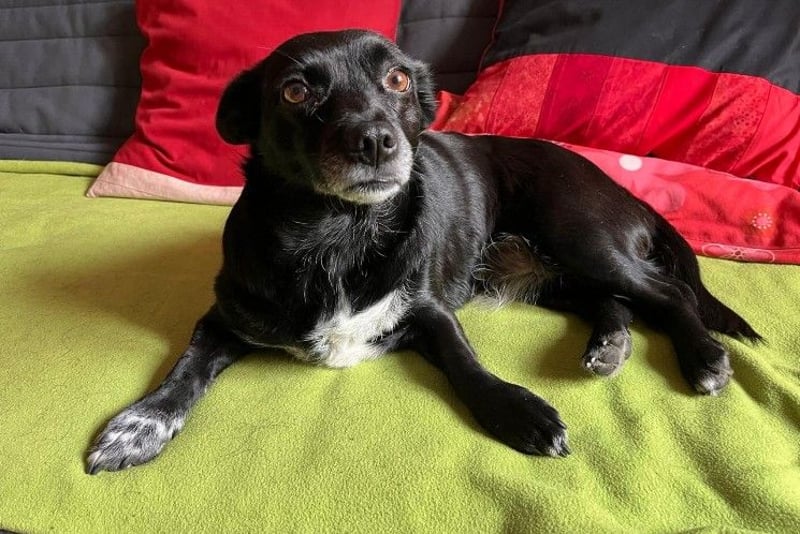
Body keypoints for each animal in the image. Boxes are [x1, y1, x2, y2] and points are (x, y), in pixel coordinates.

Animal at [86, 30, 760, 473]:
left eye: (398, 80)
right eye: (295, 91)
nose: (376, 139)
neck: (339, 234)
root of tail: (620, 187)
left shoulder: (433, 312)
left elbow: (466, 365)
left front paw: (519, 411)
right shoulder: (222, 319)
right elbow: (184, 368)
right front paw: (137, 424)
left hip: (581, 238)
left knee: (668, 291)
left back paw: (704, 357)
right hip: (553, 273)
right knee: (616, 301)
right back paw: (609, 345)